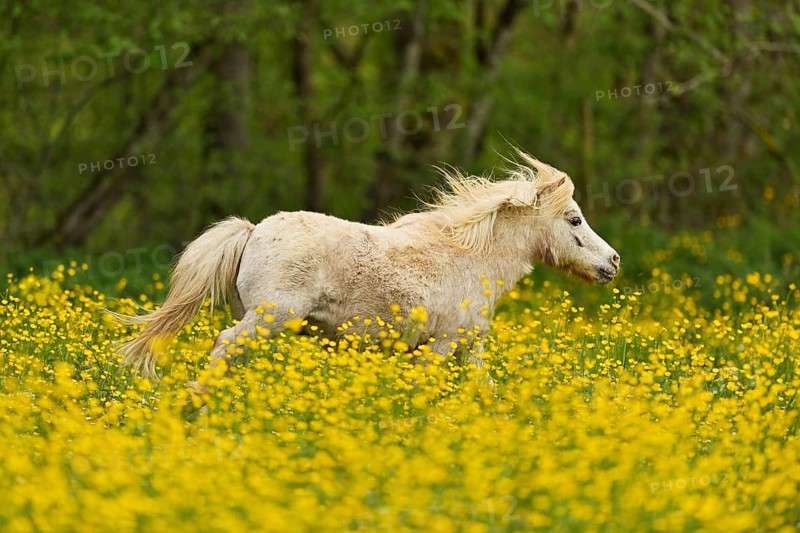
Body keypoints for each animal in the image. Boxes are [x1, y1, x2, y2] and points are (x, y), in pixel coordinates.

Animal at [117, 151, 620, 378]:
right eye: (574, 219)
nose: (612, 262)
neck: (471, 259)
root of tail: (253, 231)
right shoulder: (440, 347)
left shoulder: (467, 350)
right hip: (267, 318)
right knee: (223, 346)